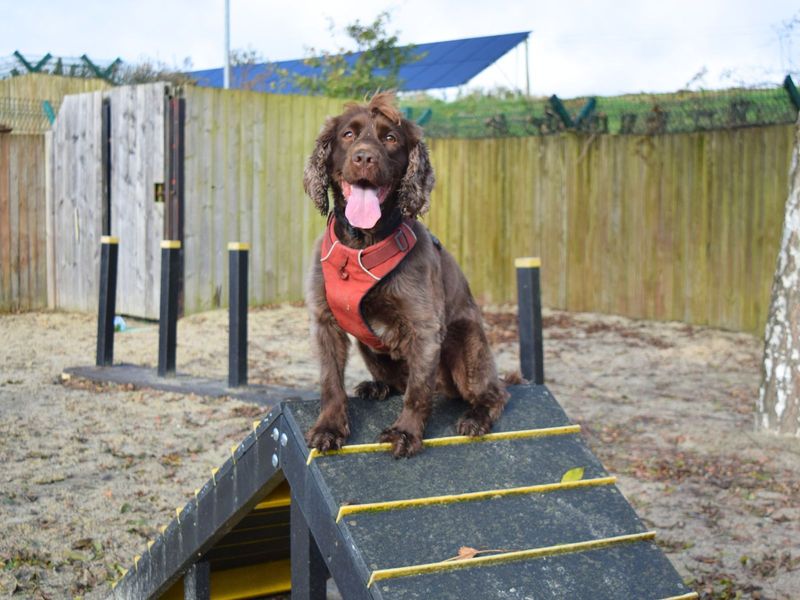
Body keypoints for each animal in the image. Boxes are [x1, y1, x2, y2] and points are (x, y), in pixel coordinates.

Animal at [302, 92, 506, 460]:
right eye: (348, 135)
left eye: (390, 138)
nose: (364, 157)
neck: (362, 245)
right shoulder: (325, 321)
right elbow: (330, 382)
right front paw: (329, 428)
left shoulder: (424, 327)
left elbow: (418, 391)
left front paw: (405, 433)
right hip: (371, 348)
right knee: (397, 383)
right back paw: (376, 387)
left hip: (466, 341)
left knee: (495, 392)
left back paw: (476, 417)